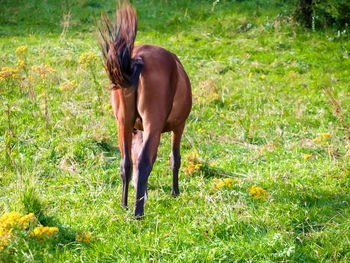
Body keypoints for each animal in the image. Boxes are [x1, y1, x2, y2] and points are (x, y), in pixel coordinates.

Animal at [97, 2, 193, 218]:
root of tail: (138, 59)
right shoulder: (178, 126)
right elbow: (174, 158)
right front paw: (175, 192)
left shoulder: (135, 129)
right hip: (153, 124)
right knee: (143, 162)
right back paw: (138, 213)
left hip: (123, 122)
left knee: (126, 163)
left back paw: (125, 205)